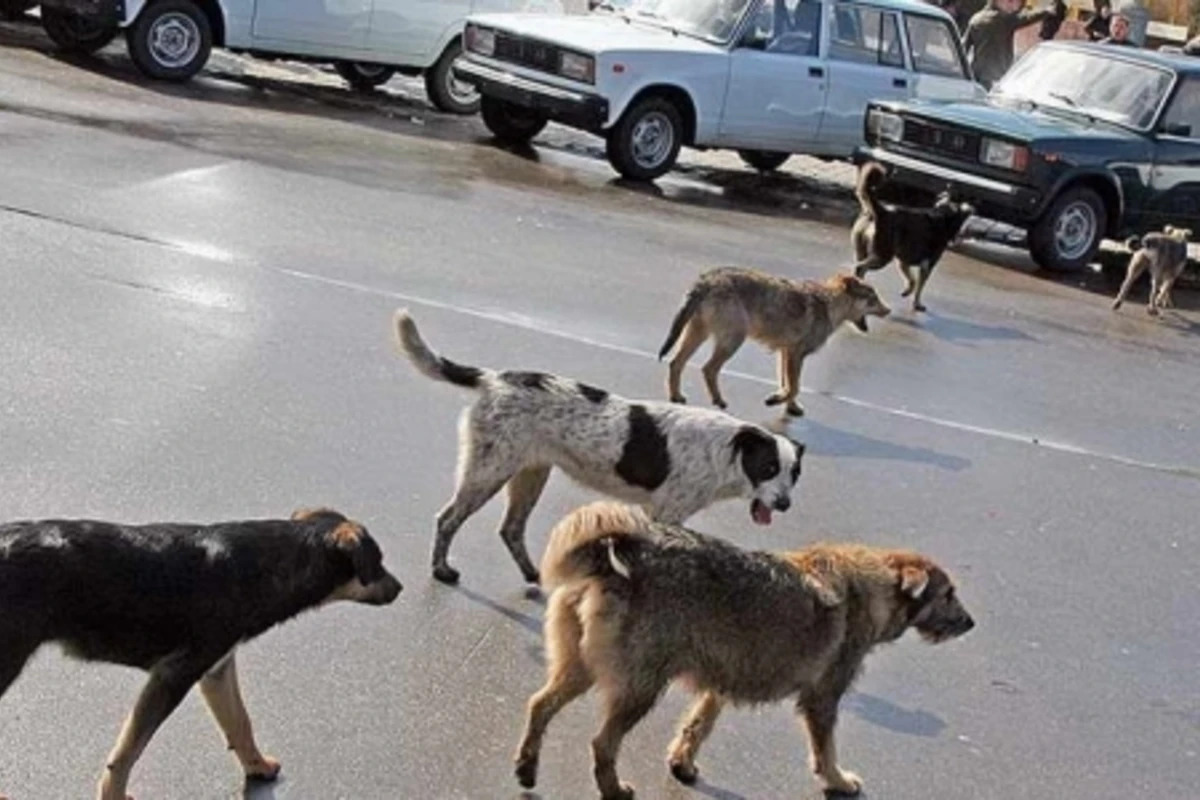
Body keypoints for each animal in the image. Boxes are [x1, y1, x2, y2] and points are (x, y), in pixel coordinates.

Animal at [0, 506, 403, 800]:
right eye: (378, 562)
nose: (400, 588)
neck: (273, 561)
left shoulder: (217, 669)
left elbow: (239, 722)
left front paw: (257, 767)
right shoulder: (173, 676)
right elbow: (127, 752)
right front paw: (113, 796)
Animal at [393, 309, 806, 585]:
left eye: (794, 475)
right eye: (768, 468)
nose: (786, 505)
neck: (724, 451)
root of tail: (495, 379)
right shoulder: (665, 515)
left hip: (530, 474)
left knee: (510, 529)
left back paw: (533, 574)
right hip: (488, 471)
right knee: (448, 519)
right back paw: (441, 570)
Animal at [516, 503, 974, 796]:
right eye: (949, 594)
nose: (971, 623)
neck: (872, 582)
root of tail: (612, 557)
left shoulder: (722, 677)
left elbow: (699, 723)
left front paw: (683, 761)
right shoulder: (823, 699)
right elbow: (825, 748)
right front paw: (837, 780)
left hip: (580, 668)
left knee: (540, 705)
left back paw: (527, 766)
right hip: (640, 687)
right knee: (602, 744)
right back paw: (611, 788)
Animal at [657, 271, 892, 419]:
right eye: (873, 299)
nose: (889, 310)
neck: (829, 303)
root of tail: (708, 279)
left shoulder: (785, 353)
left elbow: (788, 385)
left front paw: (790, 406)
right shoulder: (795, 354)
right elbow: (794, 387)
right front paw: (775, 400)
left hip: (698, 335)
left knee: (675, 363)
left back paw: (676, 396)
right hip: (732, 341)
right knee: (708, 369)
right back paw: (719, 400)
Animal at [854, 161, 974, 311]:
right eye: (962, 224)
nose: (961, 236)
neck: (943, 214)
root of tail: (881, 211)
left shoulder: (903, 261)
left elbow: (912, 280)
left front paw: (907, 291)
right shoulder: (927, 265)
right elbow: (919, 287)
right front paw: (917, 303)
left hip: (863, 251)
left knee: (859, 268)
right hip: (882, 256)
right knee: (860, 267)